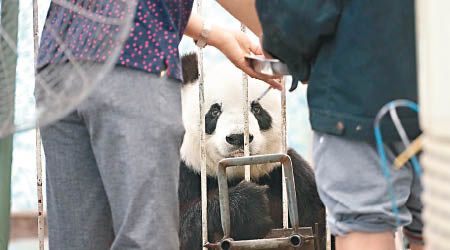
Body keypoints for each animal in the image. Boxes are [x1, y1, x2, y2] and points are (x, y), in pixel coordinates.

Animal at [179, 54, 326, 250]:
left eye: (256, 109)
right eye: (214, 111)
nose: (238, 137)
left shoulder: (294, 179)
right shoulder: (186, 174)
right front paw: (247, 205)